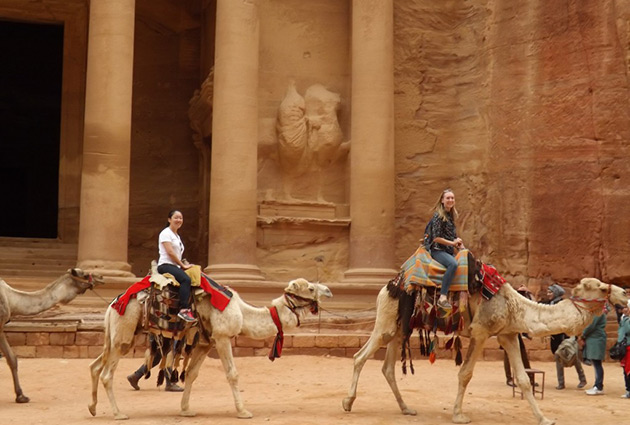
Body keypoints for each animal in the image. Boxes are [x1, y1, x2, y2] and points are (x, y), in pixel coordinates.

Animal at [90, 276, 336, 420]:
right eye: (310, 288)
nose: (329, 291)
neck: (242, 312)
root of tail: (113, 304)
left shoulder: (205, 342)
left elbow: (191, 374)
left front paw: (186, 409)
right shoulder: (222, 336)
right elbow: (233, 374)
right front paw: (243, 411)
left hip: (118, 337)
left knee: (95, 366)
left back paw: (93, 408)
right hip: (124, 332)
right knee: (106, 374)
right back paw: (118, 413)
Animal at [344, 272, 628, 424]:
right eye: (602, 287)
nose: (625, 293)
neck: (516, 306)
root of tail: (385, 287)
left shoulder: (508, 335)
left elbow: (524, 379)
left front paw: (544, 418)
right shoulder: (481, 332)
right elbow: (465, 374)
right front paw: (458, 414)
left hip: (399, 328)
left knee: (387, 368)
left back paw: (406, 408)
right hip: (386, 323)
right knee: (359, 357)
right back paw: (348, 402)